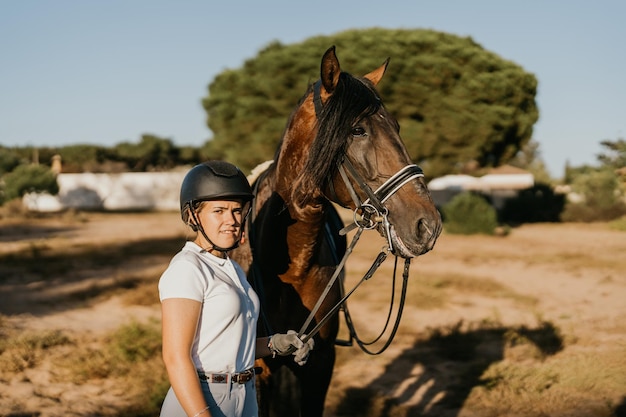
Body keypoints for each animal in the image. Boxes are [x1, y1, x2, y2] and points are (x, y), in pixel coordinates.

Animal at [232, 45, 442, 416]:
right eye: (358, 130)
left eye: (397, 127)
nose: (427, 226)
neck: (288, 267)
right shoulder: (258, 369)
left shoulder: (320, 363)